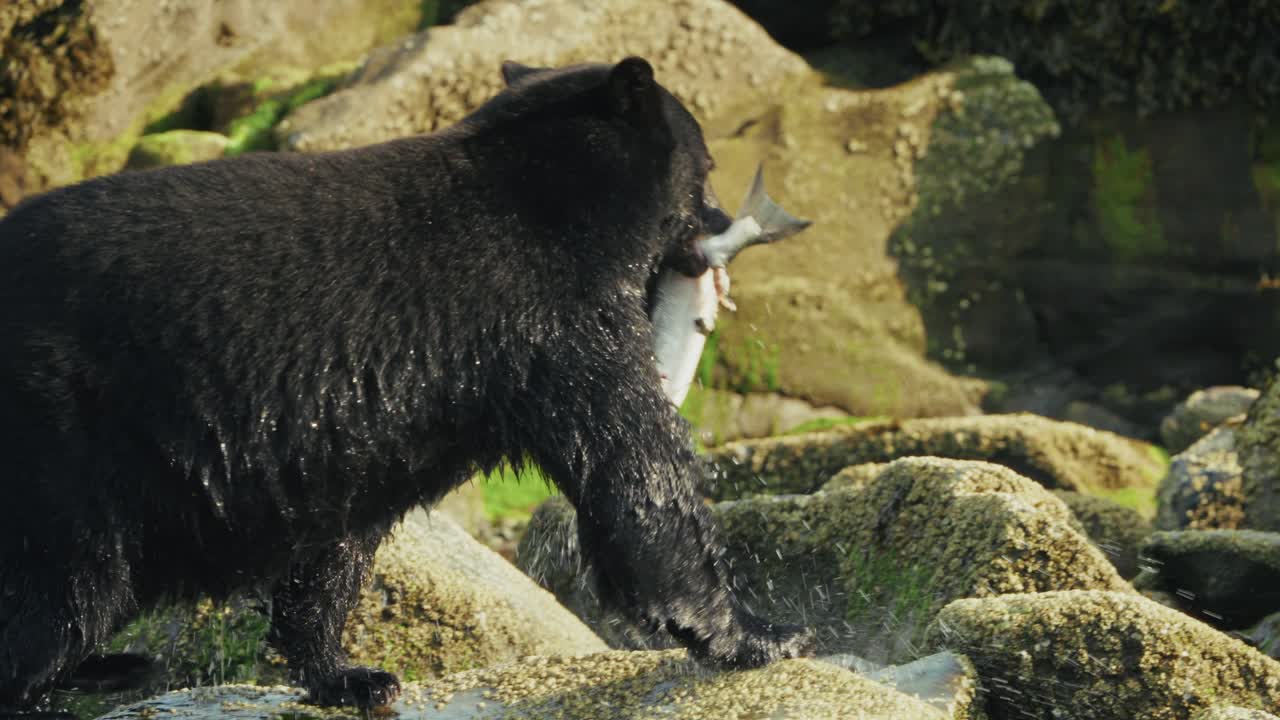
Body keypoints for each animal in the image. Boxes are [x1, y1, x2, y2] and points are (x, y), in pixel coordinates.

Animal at [0, 56, 814, 713]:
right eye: (707, 164)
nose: (721, 221)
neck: (557, 198)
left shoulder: (349, 429)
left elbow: (336, 542)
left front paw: (350, 674)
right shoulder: (551, 315)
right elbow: (635, 471)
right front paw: (765, 635)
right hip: (64, 441)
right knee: (58, 591)